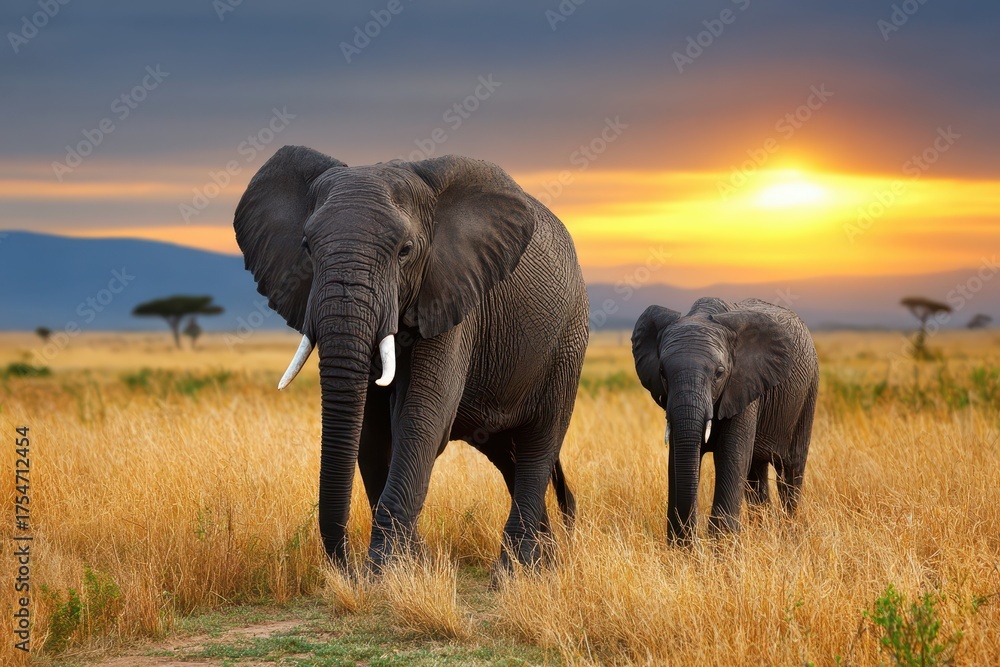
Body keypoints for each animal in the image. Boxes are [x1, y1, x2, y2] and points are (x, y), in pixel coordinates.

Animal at [234, 145, 588, 572]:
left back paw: (512, 574)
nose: (347, 567)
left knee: (539, 444)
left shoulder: (452, 294)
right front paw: (411, 566)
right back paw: (543, 564)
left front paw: (380, 575)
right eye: (306, 247)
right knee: (510, 456)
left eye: (405, 251)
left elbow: (421, 414)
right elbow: (370, 431)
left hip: (568, 342)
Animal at [632, 297, 819, 543]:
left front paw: (723, 547)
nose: (693, 542)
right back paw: (763, 533)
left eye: (719, 373)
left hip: (808, 391)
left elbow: (731, 454)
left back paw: (789, 536)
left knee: (790, 471)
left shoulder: (744, 385)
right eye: (662, 372)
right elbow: (678, 456)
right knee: (755, 474)